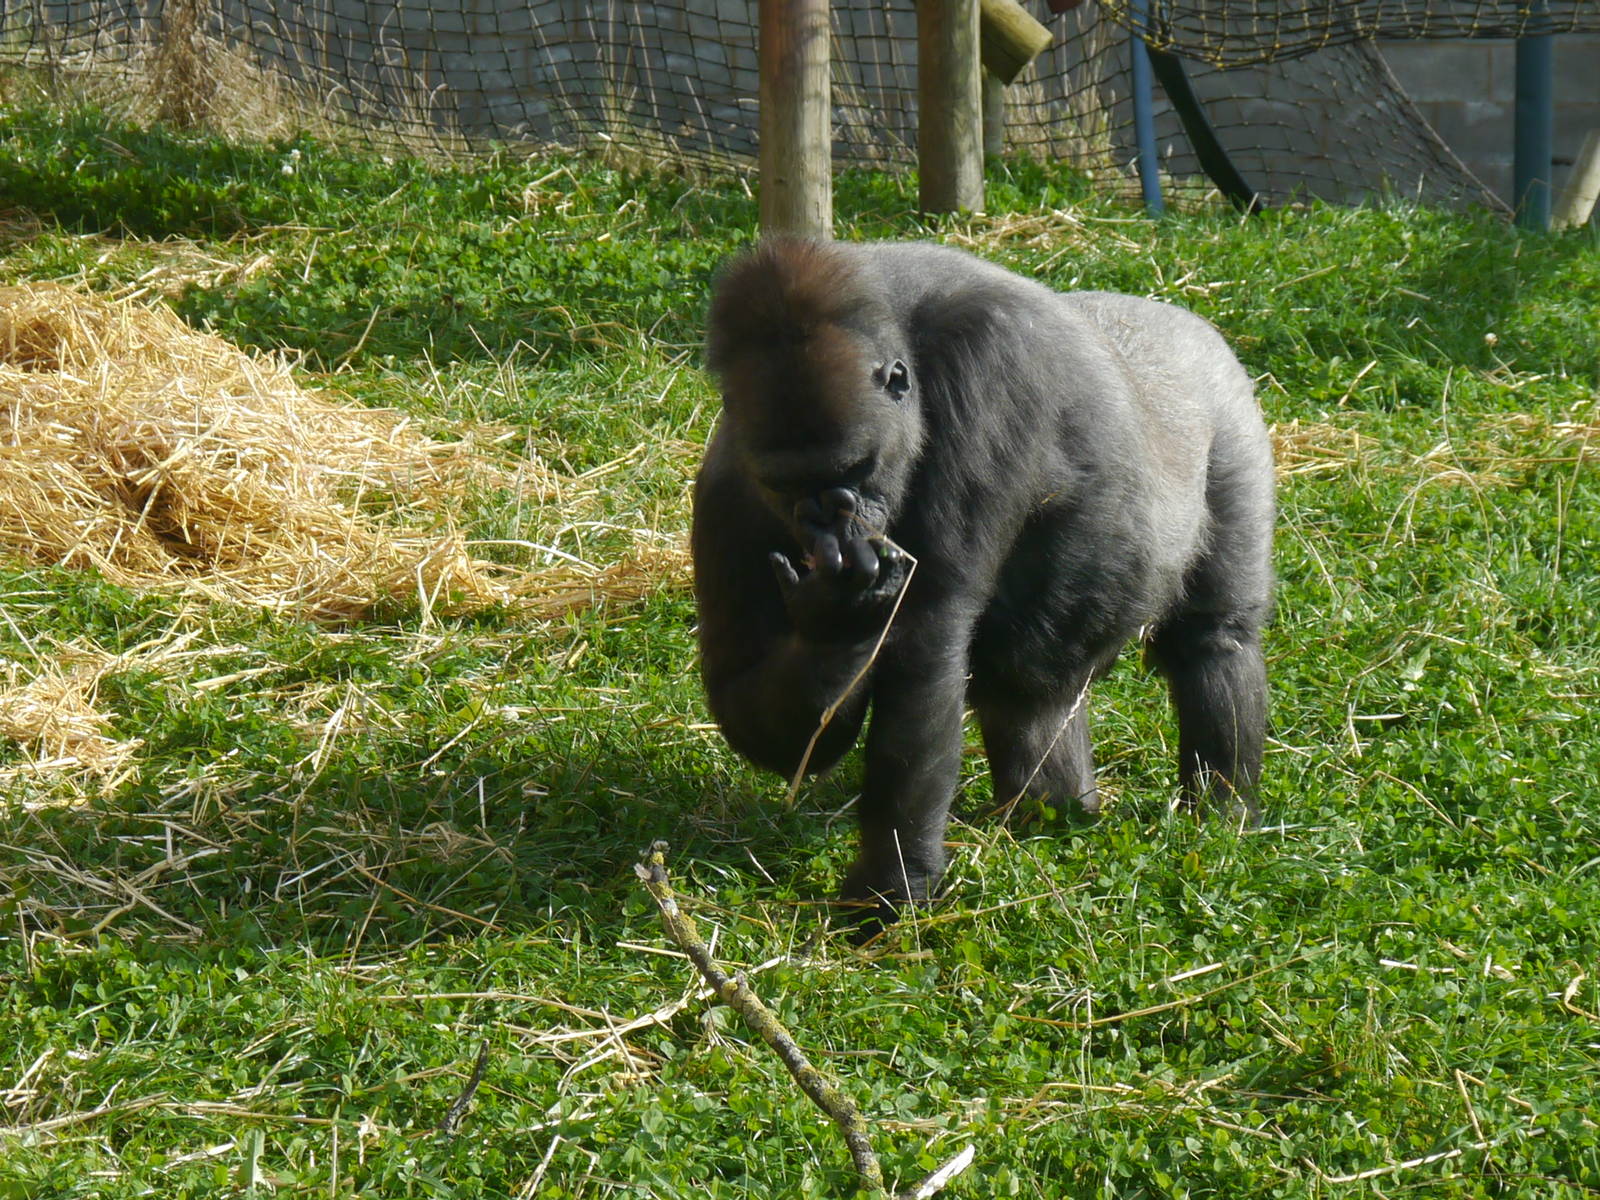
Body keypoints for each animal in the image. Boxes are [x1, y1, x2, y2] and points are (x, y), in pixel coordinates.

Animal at [692, 237, 1274, 926]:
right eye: (785, 485)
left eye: (855, 468)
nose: (827, 518)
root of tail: (1180, 318)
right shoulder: (726, 487)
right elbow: (758, 713)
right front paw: (835, 624)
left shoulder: (987, 365)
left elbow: (926, 638)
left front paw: (892, 883)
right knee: (1032, 690)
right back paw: (1053, 807)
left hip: (1224, 407)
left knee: (1214, 635)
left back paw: (1223, 808)